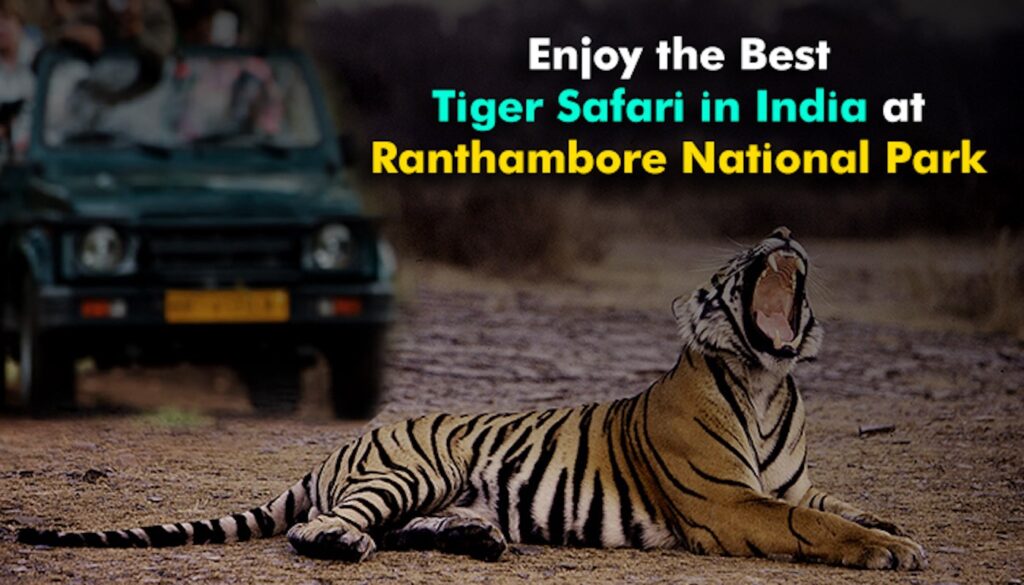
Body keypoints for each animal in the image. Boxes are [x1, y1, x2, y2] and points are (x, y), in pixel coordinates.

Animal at [18, 227, 926, 570]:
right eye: (735, 262)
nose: (782, 234)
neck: (769, 382)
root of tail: (335, 447)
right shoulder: (731, 503)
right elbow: (813, 524)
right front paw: (893, 550)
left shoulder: (791, 482)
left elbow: (837, 502)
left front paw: (894, 525)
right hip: (411, 469)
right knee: (328, 526)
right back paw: (350, 543)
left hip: (440, 488)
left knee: (408, 526)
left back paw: (477, 539)